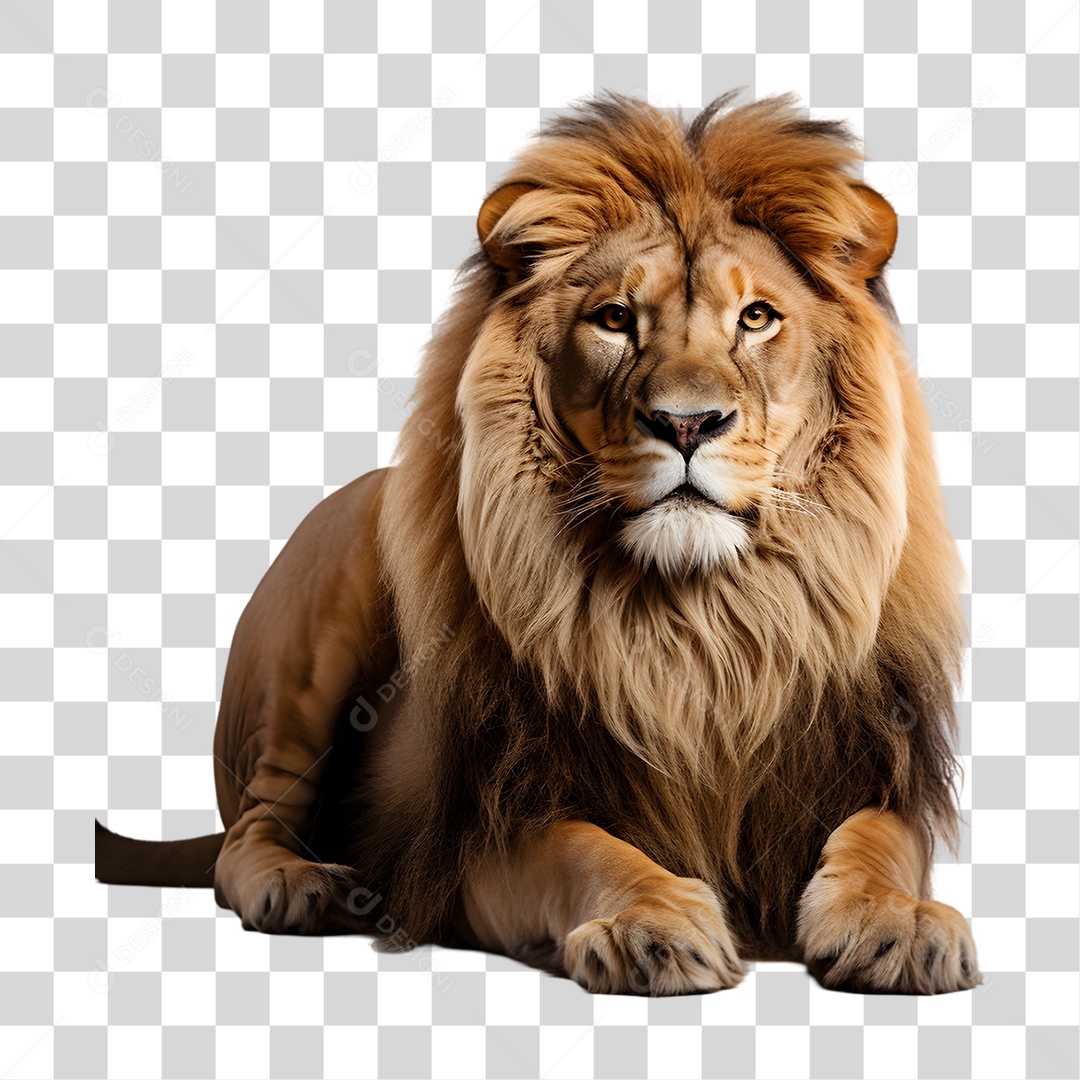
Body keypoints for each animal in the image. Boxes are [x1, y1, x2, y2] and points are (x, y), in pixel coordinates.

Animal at [96, 91, 979, 996]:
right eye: (615, 319)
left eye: (757, 318)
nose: (687, 422)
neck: (698, 628)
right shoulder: (490, 827)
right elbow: (587, 853)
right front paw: (648, 925)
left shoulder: (869, 772)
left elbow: (880, 842)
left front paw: (900, 922)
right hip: (315, 635)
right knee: (247, 834)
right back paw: (303, 886)